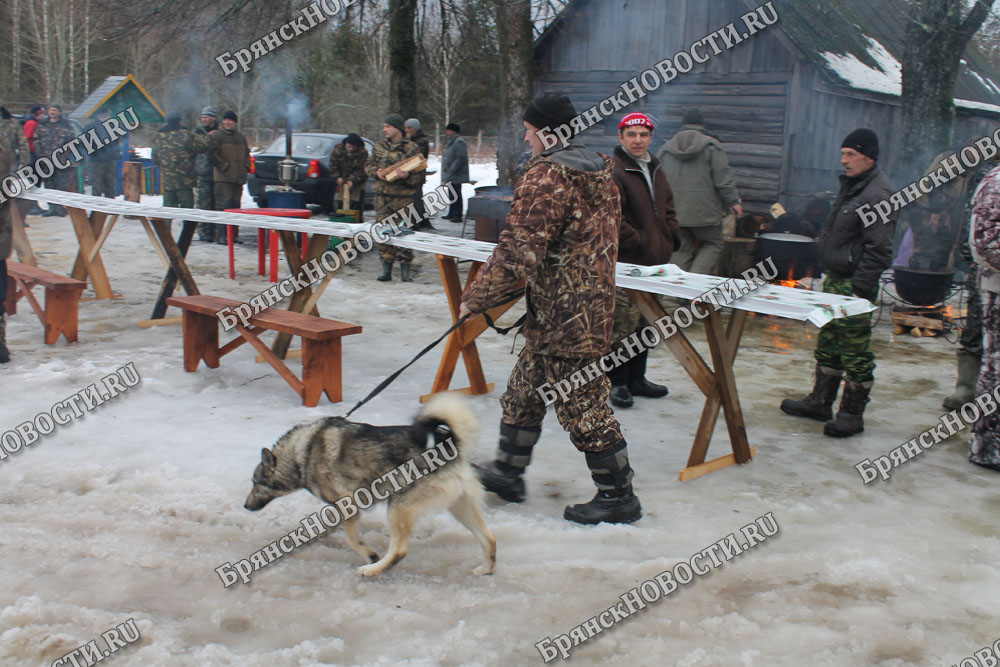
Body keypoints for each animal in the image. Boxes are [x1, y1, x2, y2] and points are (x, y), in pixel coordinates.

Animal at [242, 394, 492, 576]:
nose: (245, 505)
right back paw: (486, 570)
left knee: (399, 550)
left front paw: (369, 555)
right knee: (488, 539)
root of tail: (448, 445)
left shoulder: (347, 504)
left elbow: (353, 540)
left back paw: (372, 570)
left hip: (398, 507)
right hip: (461, 508)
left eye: (255, 483)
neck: (303, 452)